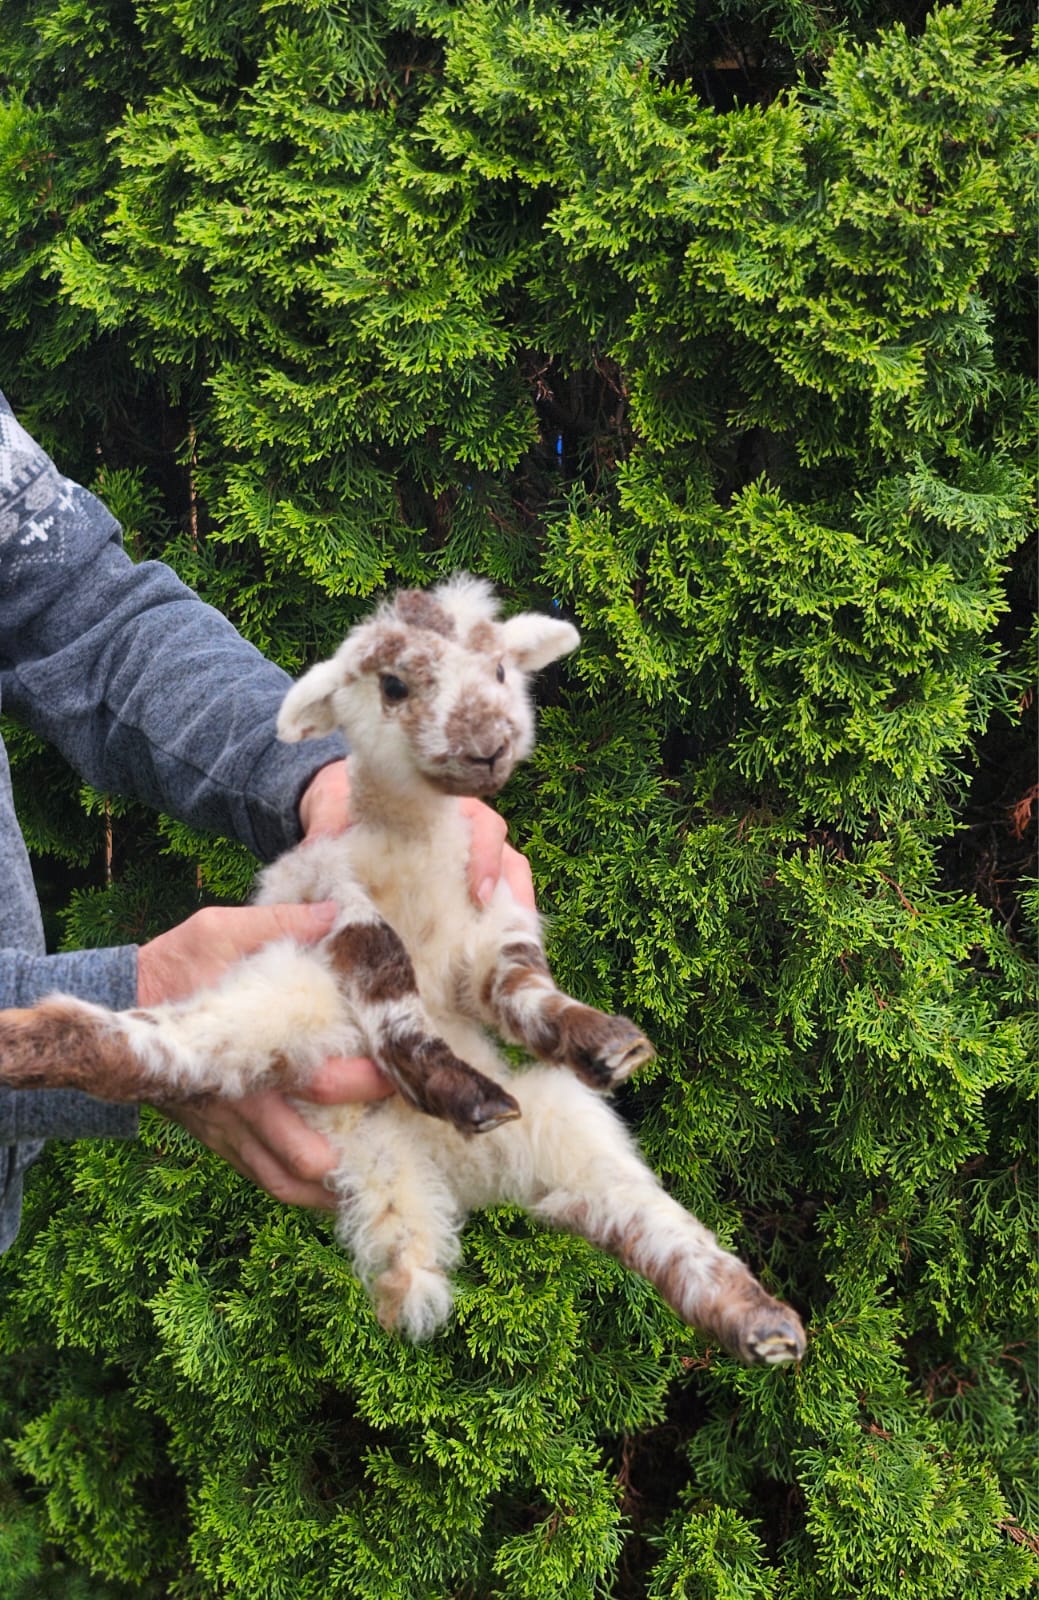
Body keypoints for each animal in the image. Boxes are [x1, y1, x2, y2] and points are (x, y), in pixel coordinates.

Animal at [0, 575, 806, 1364]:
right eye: (393, 684)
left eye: (501, 670)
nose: (488, 747)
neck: (415, 854)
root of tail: (414, 1163)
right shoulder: (334, 904)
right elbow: (389, 984)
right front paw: (451, 1081)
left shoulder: (491, 931)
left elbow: (525, 990)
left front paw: (604, 1041)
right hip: (272, 1004)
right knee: (147, 1049)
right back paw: (23, 1043)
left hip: (563, 1132)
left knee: (638, 1220)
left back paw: (760, 1324)